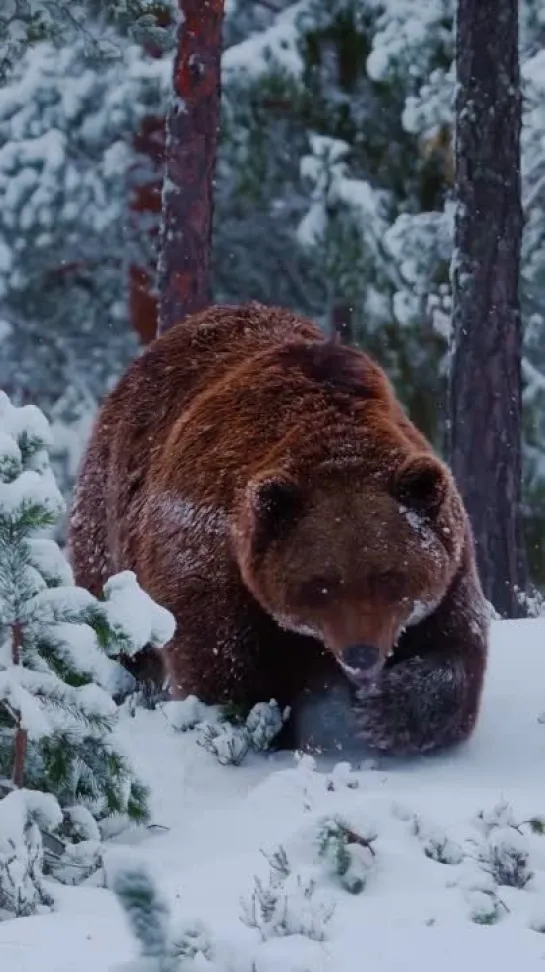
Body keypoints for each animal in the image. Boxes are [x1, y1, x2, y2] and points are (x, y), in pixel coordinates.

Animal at [68, 300, 488, 756]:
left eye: (388, 576)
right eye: (322, 583)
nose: (360, 654)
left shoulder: (449, 558)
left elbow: (454, 653)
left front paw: (382, 711)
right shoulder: (211, 557)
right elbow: (224, 671)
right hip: (109, 521)